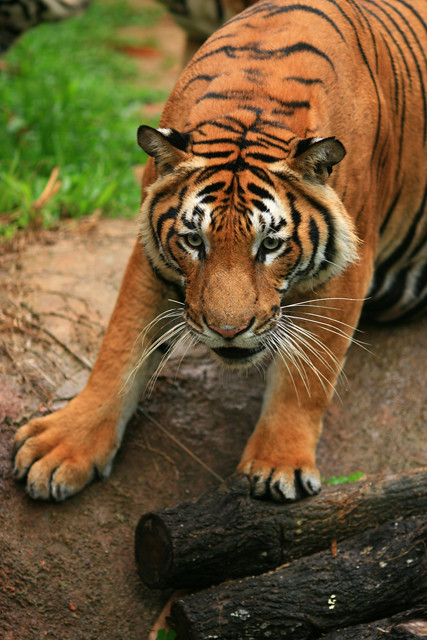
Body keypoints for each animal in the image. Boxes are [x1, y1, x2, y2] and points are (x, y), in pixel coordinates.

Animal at [13, 0, 427, 502]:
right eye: (195, 241)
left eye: (270, 245)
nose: (228, 331)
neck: (255, 98)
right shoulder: (150, 257)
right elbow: (120, 345)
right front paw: (64, 446)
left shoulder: (348, 265)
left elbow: (307, 374)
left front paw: (278, 463)